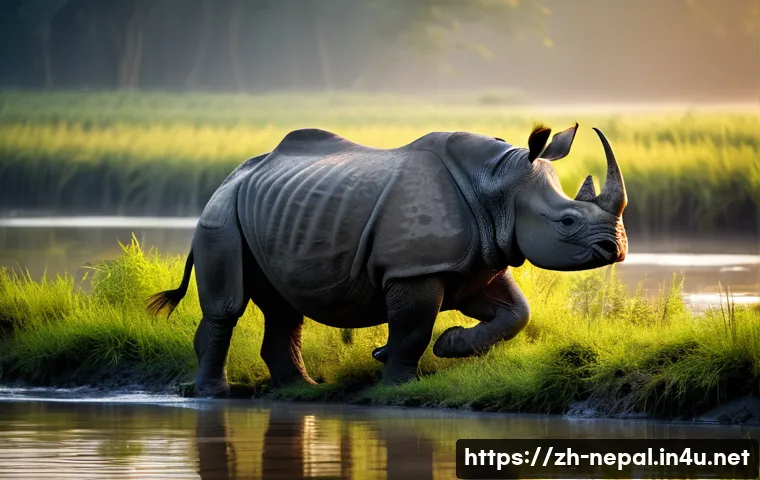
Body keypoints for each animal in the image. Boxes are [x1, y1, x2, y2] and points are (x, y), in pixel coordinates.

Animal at [146, 123, 628, 396]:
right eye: (567, 221)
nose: (616, 249)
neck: (499, 188)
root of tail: (229, 178)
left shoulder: (477, 262)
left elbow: (516, 313)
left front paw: (448, 345)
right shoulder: (416, 269)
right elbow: (413, 327)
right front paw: (399, 383)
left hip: (265, 210)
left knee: (283, 308)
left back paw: (301, 388)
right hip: (221, 214)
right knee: (228, 306)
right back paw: (216, 395)